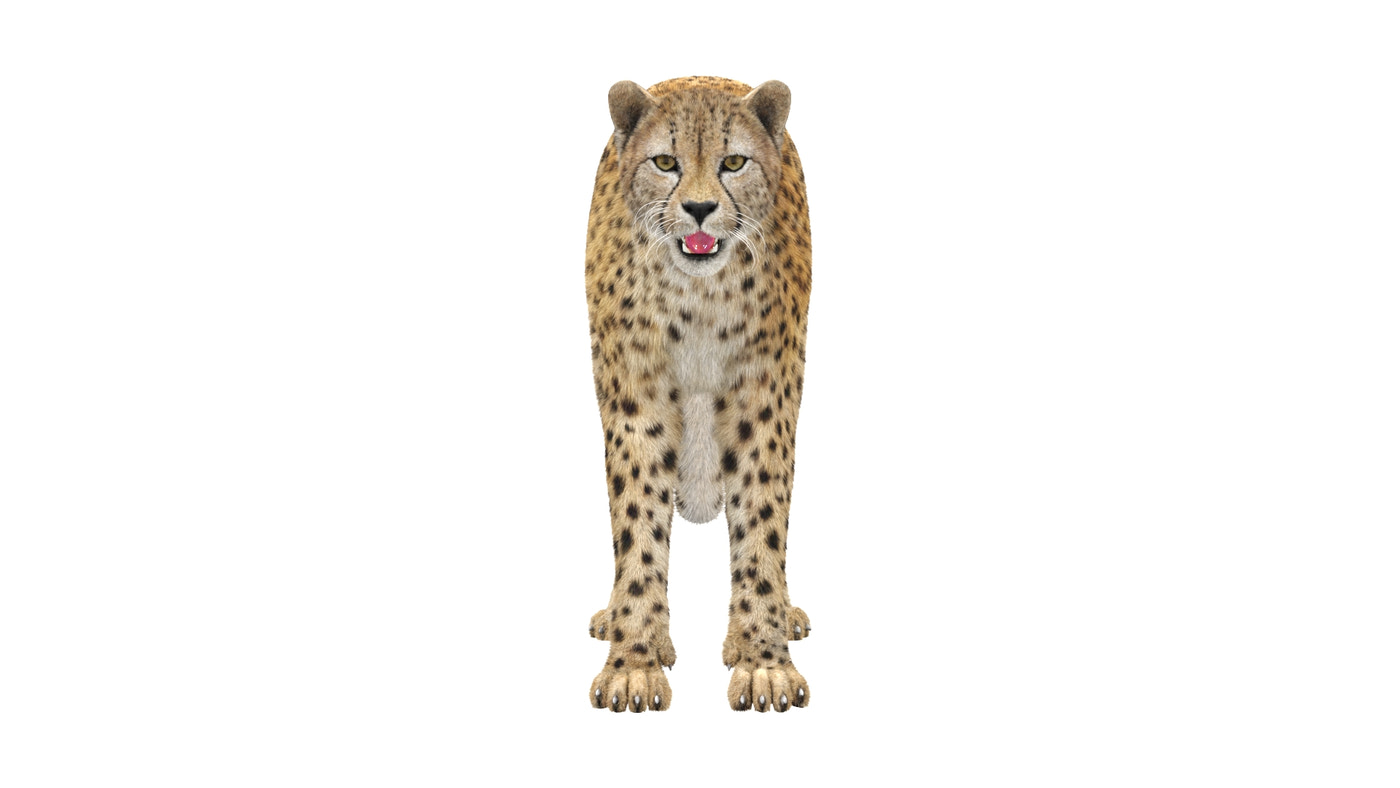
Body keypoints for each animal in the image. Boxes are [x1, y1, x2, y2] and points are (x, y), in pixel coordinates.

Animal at [583, 76, 814, 713]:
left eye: (733, 162)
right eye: (666, 162)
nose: (701, 210)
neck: (699, 297)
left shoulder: (765, 401)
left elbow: (763, 523)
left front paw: (763, 662)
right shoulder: (635, 403)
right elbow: (637, 526)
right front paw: (635, 663)